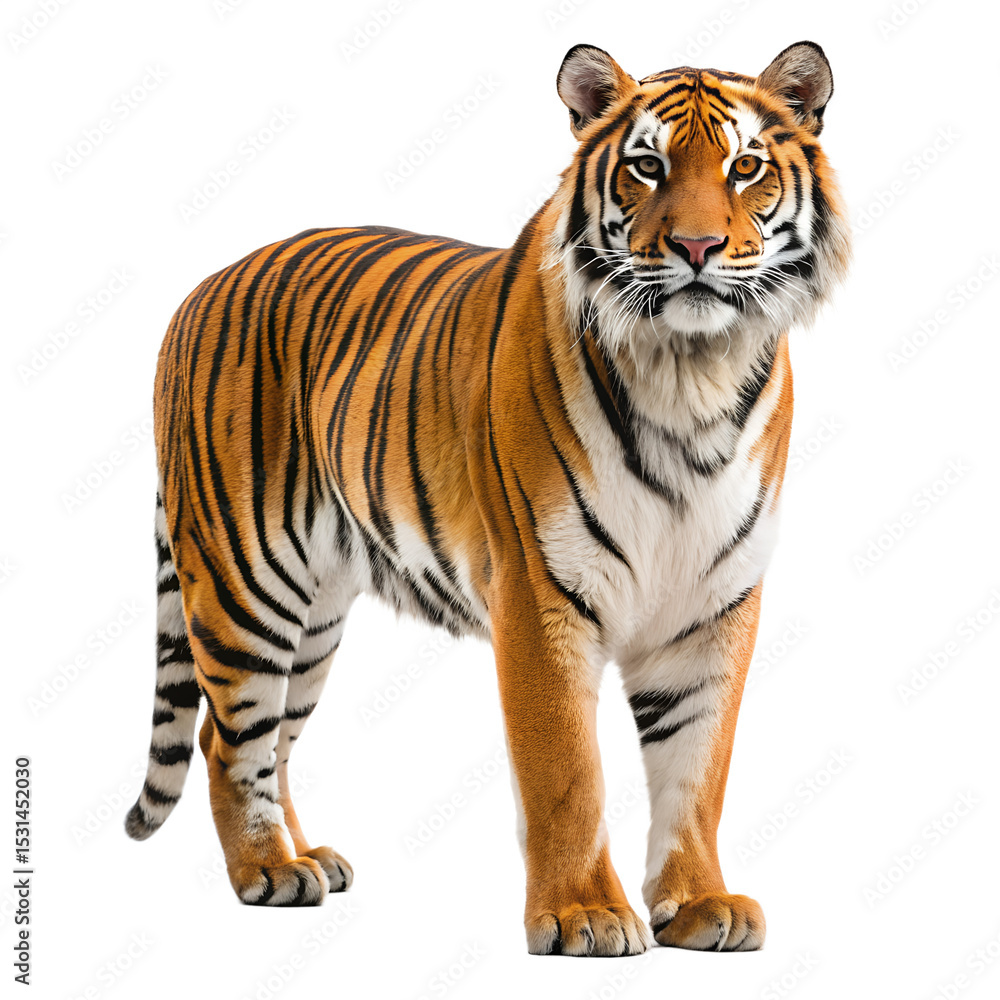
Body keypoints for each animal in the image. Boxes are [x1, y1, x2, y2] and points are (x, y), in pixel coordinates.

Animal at [125, 40, 850, 956]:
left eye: (744, 167)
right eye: (646, 167)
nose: (695, 245)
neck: (694, 375)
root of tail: (196, 291)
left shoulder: (714, 605)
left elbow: (698, 769)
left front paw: (698, 903)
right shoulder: (540, 593)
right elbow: (566, 770)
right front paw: (584, 915)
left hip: (315, 614)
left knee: (272, 740)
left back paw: (306, 856)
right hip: (246, 581)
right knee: (227, 739)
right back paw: (267, 872)